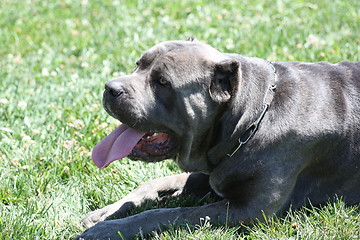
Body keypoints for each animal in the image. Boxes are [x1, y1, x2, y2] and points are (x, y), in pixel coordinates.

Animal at [74, 38, 358, 239]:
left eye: (163, 82)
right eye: (138, 64)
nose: (110, 88)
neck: (251, 119)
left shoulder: (249, 209)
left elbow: (168, 212)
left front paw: (109, 230)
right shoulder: (212, 171)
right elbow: (154, 183)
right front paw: (107, 213)